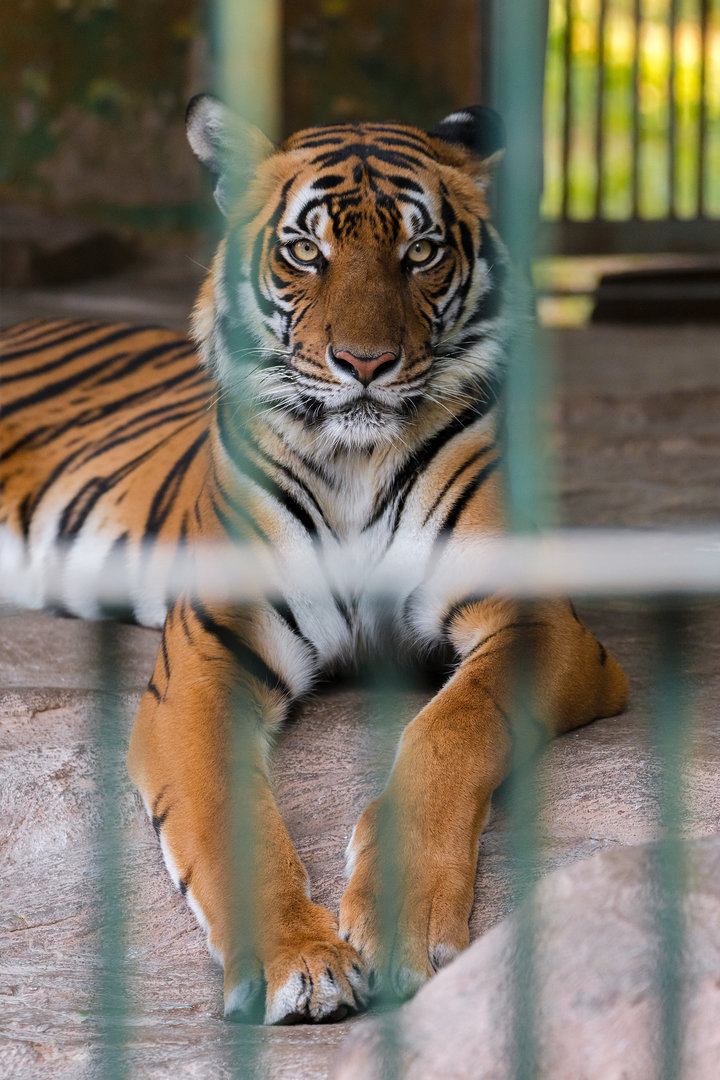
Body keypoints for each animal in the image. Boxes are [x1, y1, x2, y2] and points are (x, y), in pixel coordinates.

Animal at [0, 95, 628, 1025]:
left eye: (420, 252)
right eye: (306, 251)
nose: (364, 364)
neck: (354, 462)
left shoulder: (535, 621)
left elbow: (449, 732)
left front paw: (401, 924)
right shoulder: (205, 660)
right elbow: (229, 816)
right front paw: (298, 963)